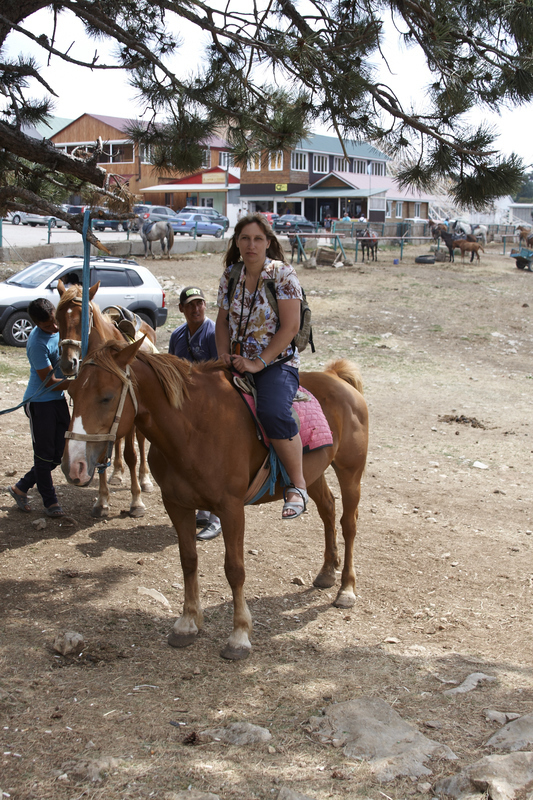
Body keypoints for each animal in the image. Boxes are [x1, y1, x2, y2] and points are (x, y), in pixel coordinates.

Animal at [55, 282, 157, 520]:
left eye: (85, 317)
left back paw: (144, 479)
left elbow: (131, 455)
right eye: (58, 318)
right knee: (115, 444)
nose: (67, 363)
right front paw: (102, 501)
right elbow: (102, 454)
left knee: (139, 443)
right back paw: (117, 473)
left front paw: (136, 501)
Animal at [61, 338, 366, 664]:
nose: (73, 467)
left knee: (348, 524)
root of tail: (336, 377)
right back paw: (326, 572)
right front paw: (187, 623)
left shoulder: (231, 509)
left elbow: (235, 570)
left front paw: (239, 635)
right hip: (311, 474)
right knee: (328, 509)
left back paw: (346, 589)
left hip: (350, 471)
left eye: (106, 397)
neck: (193, 427)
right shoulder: (177, 505)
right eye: (71, 392)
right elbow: (188, 560)